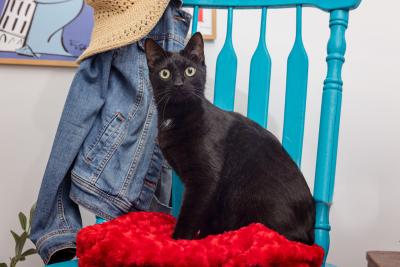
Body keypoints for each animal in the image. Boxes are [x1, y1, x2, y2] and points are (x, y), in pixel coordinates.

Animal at [144, 33, 316, 245]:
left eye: (190, 71)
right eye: (165, 74)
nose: (178, 84)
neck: (176, 117)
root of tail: (310, 232)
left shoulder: (205, 179)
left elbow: (191, 212)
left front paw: (180, 240)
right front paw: (202, 235)